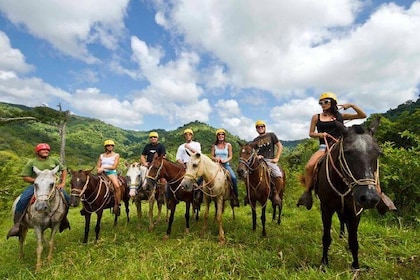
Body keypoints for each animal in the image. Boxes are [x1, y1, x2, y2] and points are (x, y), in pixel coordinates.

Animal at [316, 117, 384, 270]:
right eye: (347, 153)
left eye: (378, 153)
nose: (369, 198)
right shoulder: (326, 208)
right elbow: (326, 237)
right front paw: (324, 262)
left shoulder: (355, 210)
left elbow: (353, 240)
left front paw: (356, 266)